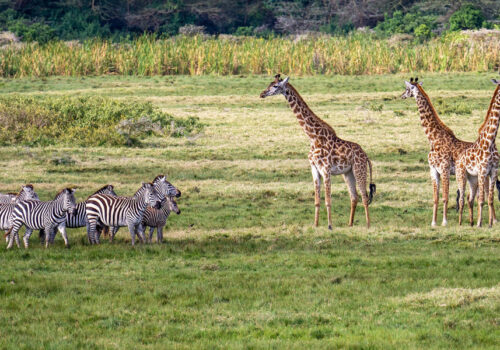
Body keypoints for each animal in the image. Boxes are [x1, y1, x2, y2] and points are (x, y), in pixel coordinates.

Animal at [258, 74, 376, 228]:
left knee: (364, 196)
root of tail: (366, 156)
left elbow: (328, 200)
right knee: (354, 197)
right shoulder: (314, 168)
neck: (313, 137)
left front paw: (330, 226)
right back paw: (350, 224)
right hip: (348, 173)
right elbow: (317, 201)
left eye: (275, 86)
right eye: (269, 84)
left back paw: (368, 225)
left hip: (359, 169)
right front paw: (316, 224)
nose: (262, 94)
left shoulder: (325, 169)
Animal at [458, 79, 500, 227]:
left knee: (470, 198)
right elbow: (481, 199)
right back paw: (460, 223)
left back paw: (470, 222)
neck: (491, 140)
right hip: (461, 175)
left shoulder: (494, 171)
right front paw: (479, 223)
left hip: (473, 179)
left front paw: (490, 224)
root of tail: (459, 157)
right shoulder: (483, 171)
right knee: (462, 198)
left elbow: (490, 199)